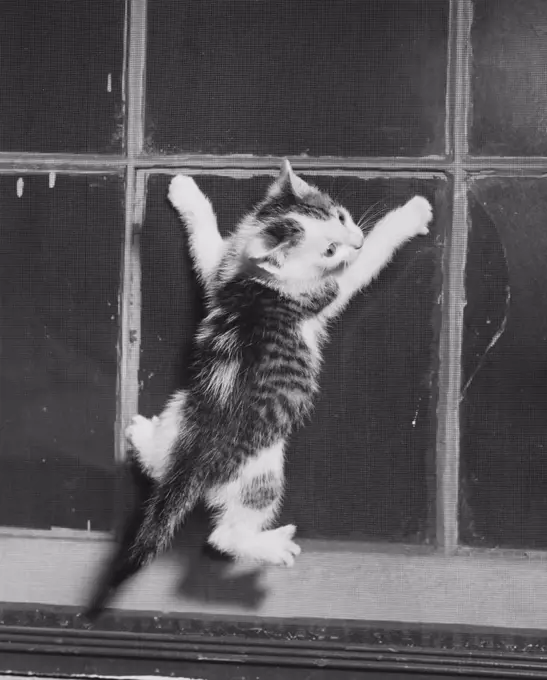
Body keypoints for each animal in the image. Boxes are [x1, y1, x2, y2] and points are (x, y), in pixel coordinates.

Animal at [85, 161, 434, 616]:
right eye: (329, 251)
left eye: (341, 217)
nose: (354, 240)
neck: (258, 278)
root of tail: (190, 463)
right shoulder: (332, 287)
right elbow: (374, 253)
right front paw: (411, 214)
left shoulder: (220, 272)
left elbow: (206, 245)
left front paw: (185, 192)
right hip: (260, 474)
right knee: (222, 536)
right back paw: (270, 547)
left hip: (182, 405)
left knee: (159, 466)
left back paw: (142, 435)